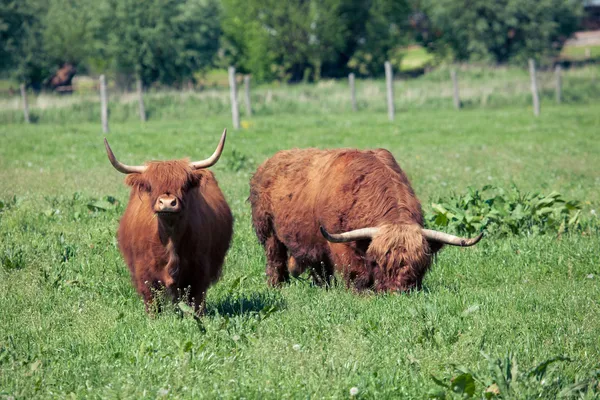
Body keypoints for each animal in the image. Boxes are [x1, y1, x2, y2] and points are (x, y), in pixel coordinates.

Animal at [105, 130, 232, 310]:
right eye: (151, 186)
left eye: (184, 185)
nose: (167, 203)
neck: (170, 237)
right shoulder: (145, 273)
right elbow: (152, 303)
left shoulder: (199, 272)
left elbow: (196, 303)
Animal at [248, 148, 482, 292]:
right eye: (378, 262)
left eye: (418, 264)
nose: (397, 292)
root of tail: (267, 163)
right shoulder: (340, 244)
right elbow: (356, 272)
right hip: (268, 232)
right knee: (275, 260)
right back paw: (277, 286)